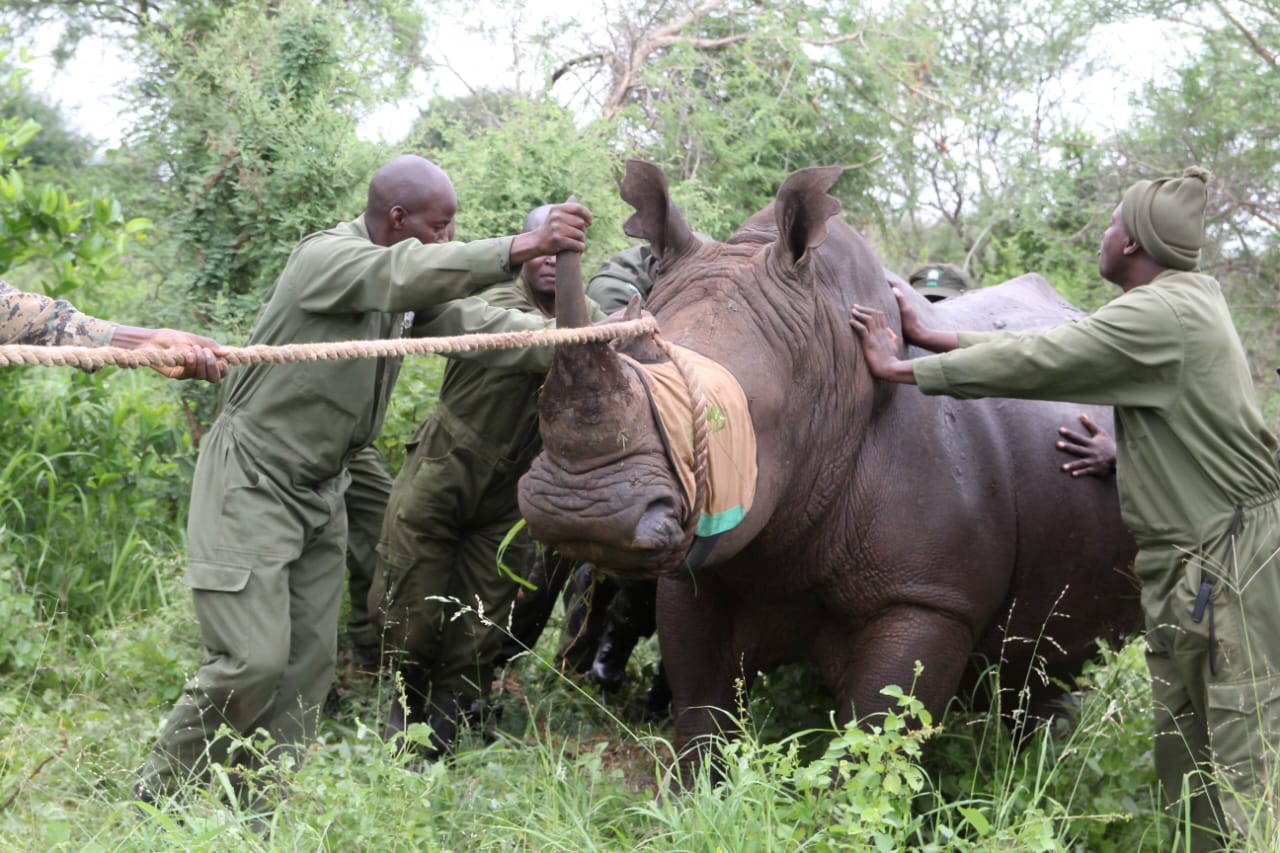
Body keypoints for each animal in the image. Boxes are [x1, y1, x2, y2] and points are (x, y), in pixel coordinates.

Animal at [518, 160, 1139, 775]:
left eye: (725, 419)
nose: (582, 511)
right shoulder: (702, 564)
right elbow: (701, 710)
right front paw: (696, 789)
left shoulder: (926, 597)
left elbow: (874, 743)